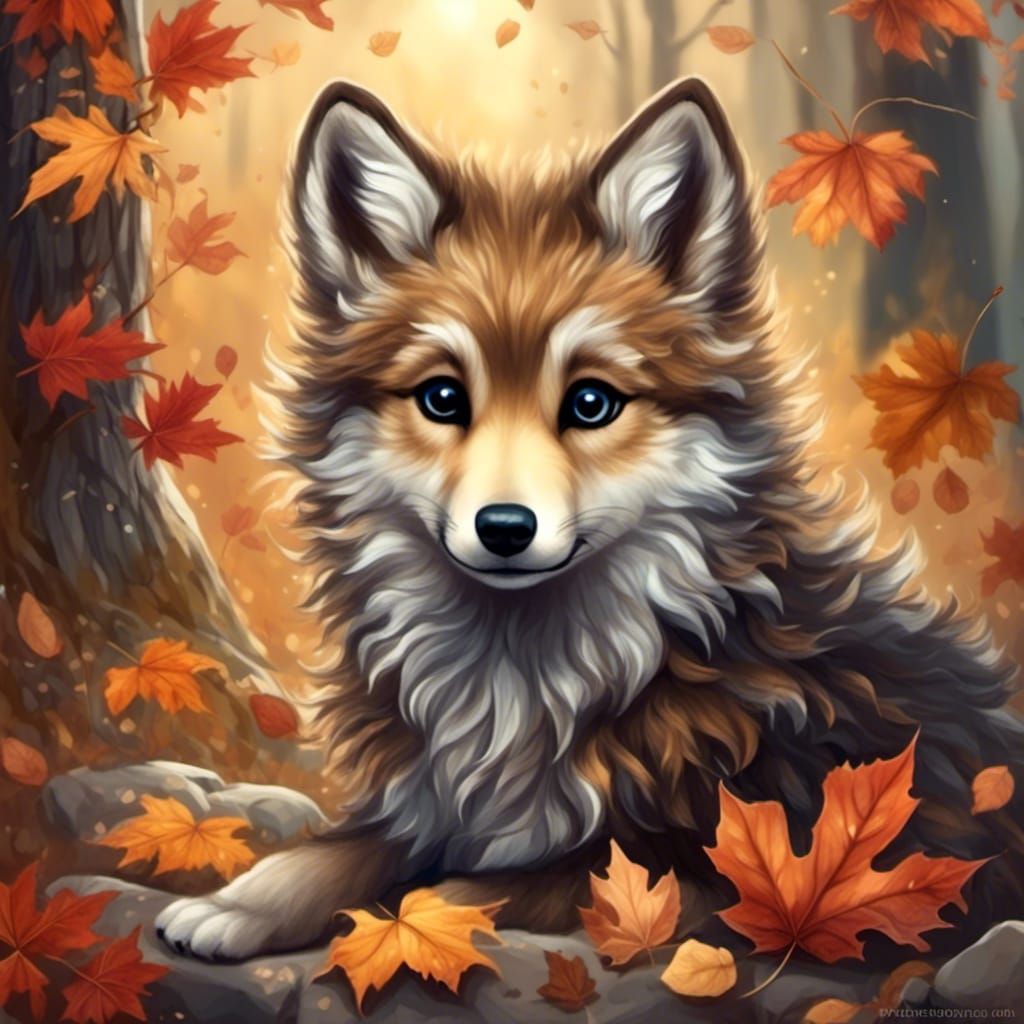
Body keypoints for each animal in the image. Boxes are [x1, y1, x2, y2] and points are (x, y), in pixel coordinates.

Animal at [156, 77, 1024, 963]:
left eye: (592, 403)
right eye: (442, 396)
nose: (506, 528)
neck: (526, 681)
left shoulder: (707, 878)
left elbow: (484, 888)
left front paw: (412, 920)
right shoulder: (422, 805)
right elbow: (332, 852)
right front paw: (237, 903)